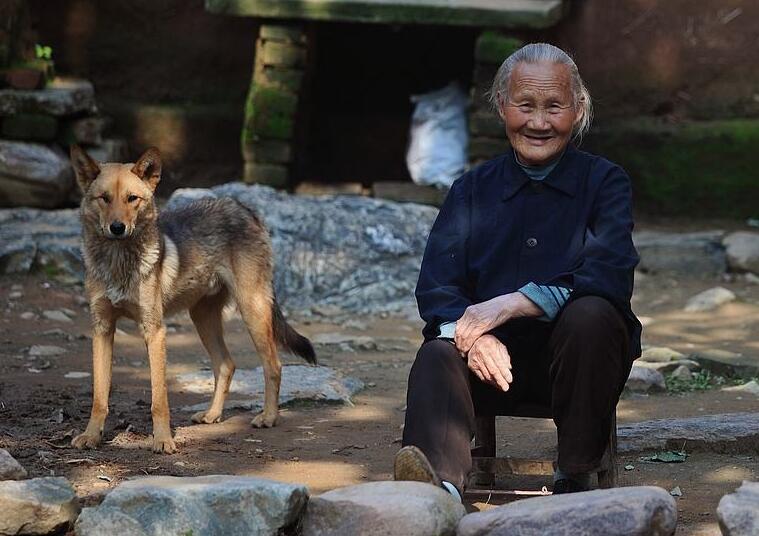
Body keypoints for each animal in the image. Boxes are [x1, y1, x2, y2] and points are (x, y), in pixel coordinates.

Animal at [70, 146, 316, 452]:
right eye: (104, 198)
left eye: (132, 199)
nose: (117, 227)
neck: (118, 261)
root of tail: (243, 207)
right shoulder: (102, 329)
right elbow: (99, 397)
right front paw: (91, 436)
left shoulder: (154, 331)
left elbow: (159, 399)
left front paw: (163, 440)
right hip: (202, 318)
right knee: (226, 364)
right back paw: (212, 414)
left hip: (252, 311)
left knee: (273, 365)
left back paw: (268, 417)